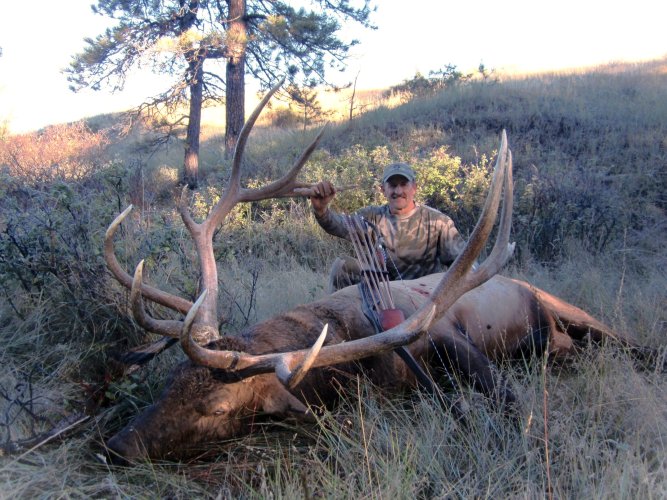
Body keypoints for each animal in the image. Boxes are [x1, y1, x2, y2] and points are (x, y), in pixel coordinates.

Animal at [103, 82, 648, 462]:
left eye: (216, 408)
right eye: (173, 380)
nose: (117, 446)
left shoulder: (447, 335)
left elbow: (507, 400)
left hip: (564, 306)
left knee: (626, 341)